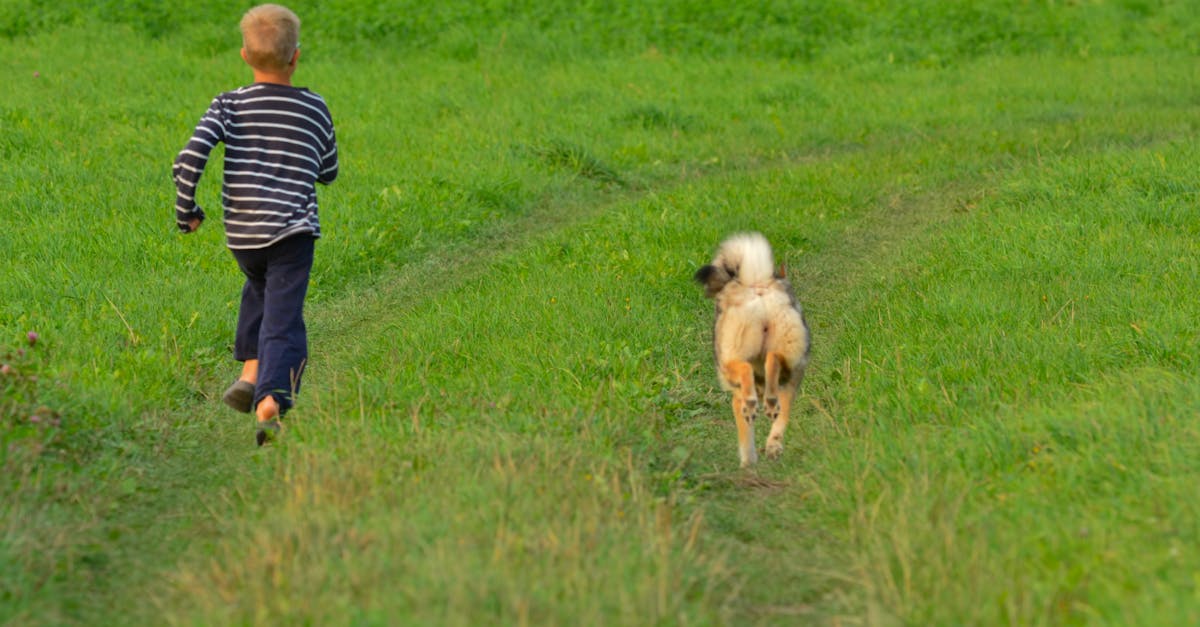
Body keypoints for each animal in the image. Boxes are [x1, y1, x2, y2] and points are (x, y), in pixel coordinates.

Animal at [696, 231, 816, 466]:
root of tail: (757, 284)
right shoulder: (790, 389)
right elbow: (779, 425)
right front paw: (772, 449)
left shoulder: (736, 399)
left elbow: (746, 440)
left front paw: (748, 463)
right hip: (789, 363)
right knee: (773, 361)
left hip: (733, 361)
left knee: (747, 369)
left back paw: (754, 402)